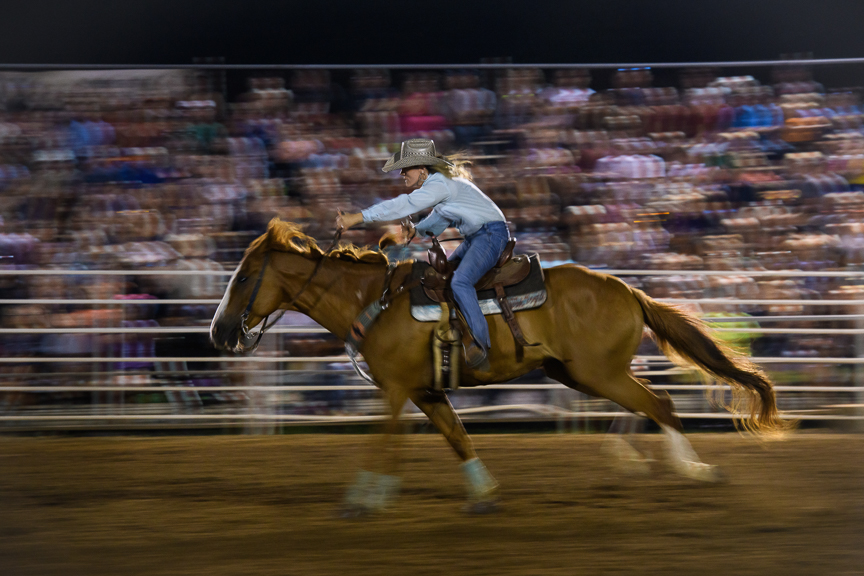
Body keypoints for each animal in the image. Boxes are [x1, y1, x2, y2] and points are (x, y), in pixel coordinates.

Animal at [211, 219, 788, 512]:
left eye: (244, 277)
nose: (218, 332)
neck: (373, 300)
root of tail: (629, 290)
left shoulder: (395, 388)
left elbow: (382, 439)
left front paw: (363, 497)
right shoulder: (425, 391)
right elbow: (457, 437)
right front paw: (483, 491)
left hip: (596, 372)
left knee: (660, 402)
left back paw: (695, 469)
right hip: (578, 372)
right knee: (645, 401)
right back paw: (630, 458)